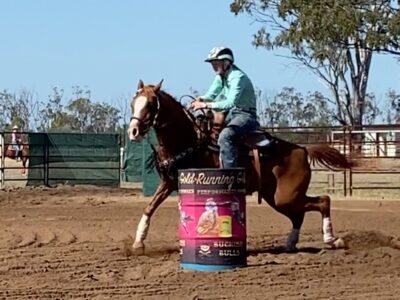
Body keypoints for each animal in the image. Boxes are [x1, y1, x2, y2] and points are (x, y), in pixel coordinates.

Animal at [126, 79, 352, 253]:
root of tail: (303, 149)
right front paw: (138, 243)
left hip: (286, 196)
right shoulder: (169, 183)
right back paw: (290, 243)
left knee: (323, 201)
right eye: (133, 103)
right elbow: (150, 207)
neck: (189, 140)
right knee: (300, 214)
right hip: (277, 197)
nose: (133, 131)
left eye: (151, 104)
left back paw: (332, 239)